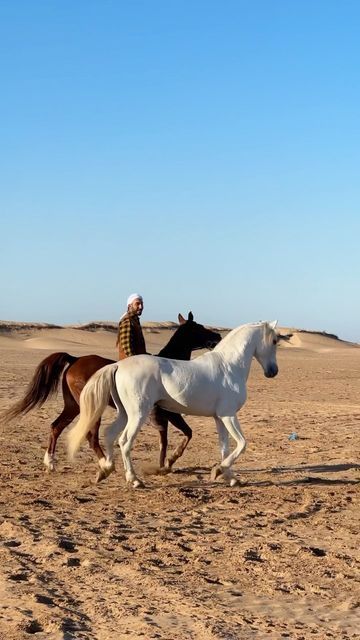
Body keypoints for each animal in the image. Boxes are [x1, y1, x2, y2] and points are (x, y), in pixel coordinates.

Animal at [3, 312, 219, 478]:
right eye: (199, 327)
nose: (217, 336)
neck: (169, 366)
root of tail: (75, 359)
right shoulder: (168, 414)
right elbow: (186, 434)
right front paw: (167, 462)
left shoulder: (162, 416)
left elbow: (165, 440)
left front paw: (162, 465)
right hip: (91, 408)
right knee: (90, 436)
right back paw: (105, 465)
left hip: (73, 406)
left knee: (56, 427)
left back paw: (50, 463)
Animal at [69, 322, 280, 488]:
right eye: (275, 341)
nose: (273, 372)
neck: (228, 367)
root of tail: (118, 365)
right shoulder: (228, 415)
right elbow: (242, 444)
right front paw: (220, 471)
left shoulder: (220, 418)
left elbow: (225, 448)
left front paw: (229, 477)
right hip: (138, 414)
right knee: (124, 441)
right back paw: (134, 480)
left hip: (124, 413)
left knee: (110, 434)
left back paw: (105, 470)